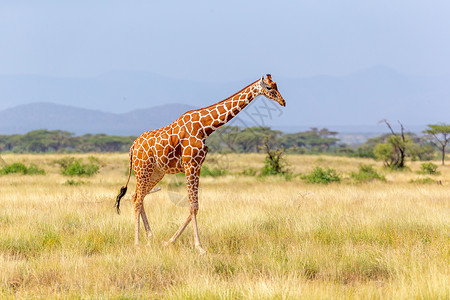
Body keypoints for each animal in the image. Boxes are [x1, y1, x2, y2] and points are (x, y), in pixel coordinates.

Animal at [115, 73, 284, 253]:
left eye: (276, 85)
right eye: (269, 87)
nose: (283, 101)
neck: (205, 127)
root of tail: (132, 147)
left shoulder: (198, 166)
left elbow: (194, 206)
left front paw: (169, 241)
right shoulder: (190, 165)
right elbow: (193, 206)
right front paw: (199, 247)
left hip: (156, 172)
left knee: (136, 196)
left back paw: (150, 237)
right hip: (143, 169)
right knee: (138, 199)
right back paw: (137, 243)